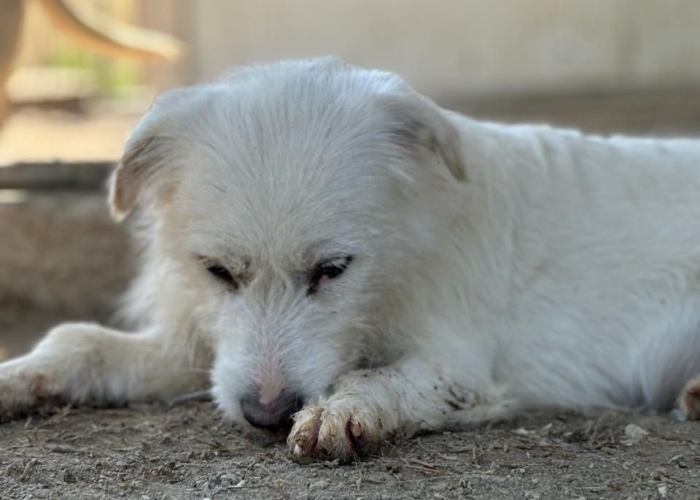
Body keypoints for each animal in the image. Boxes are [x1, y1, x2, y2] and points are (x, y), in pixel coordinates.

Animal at [1, 57, 700, 460]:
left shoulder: (461, 366)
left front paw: (343, 410)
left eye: (332, 270)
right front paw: (20, 375)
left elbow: (384, 379)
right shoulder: (207, 354)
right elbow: (80, 341)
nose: (267, 415)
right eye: (218, 272)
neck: (402, 259)